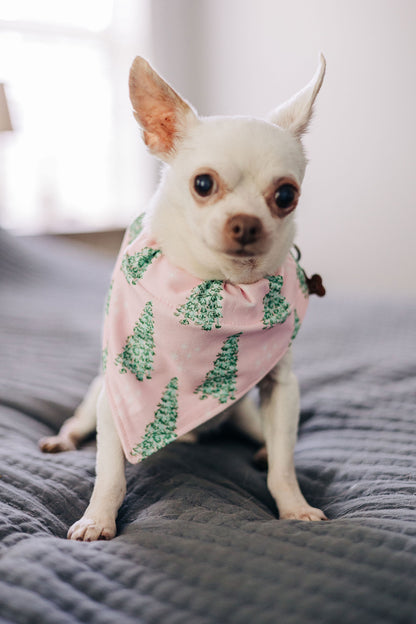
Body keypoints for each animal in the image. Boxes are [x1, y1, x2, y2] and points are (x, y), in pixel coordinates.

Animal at [41, 56, 328, 540]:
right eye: (203, 184)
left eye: (286, 195)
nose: (247, 223)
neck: (222, 286)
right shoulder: (118, 396)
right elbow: (109, 473)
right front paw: (97, 520)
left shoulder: (281, 388)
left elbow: (285, 467)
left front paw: (294, 507)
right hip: (96, 395)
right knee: (77, 422)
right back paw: (63, 438)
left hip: (247, 413)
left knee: (269, 439)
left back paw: (264, 450)